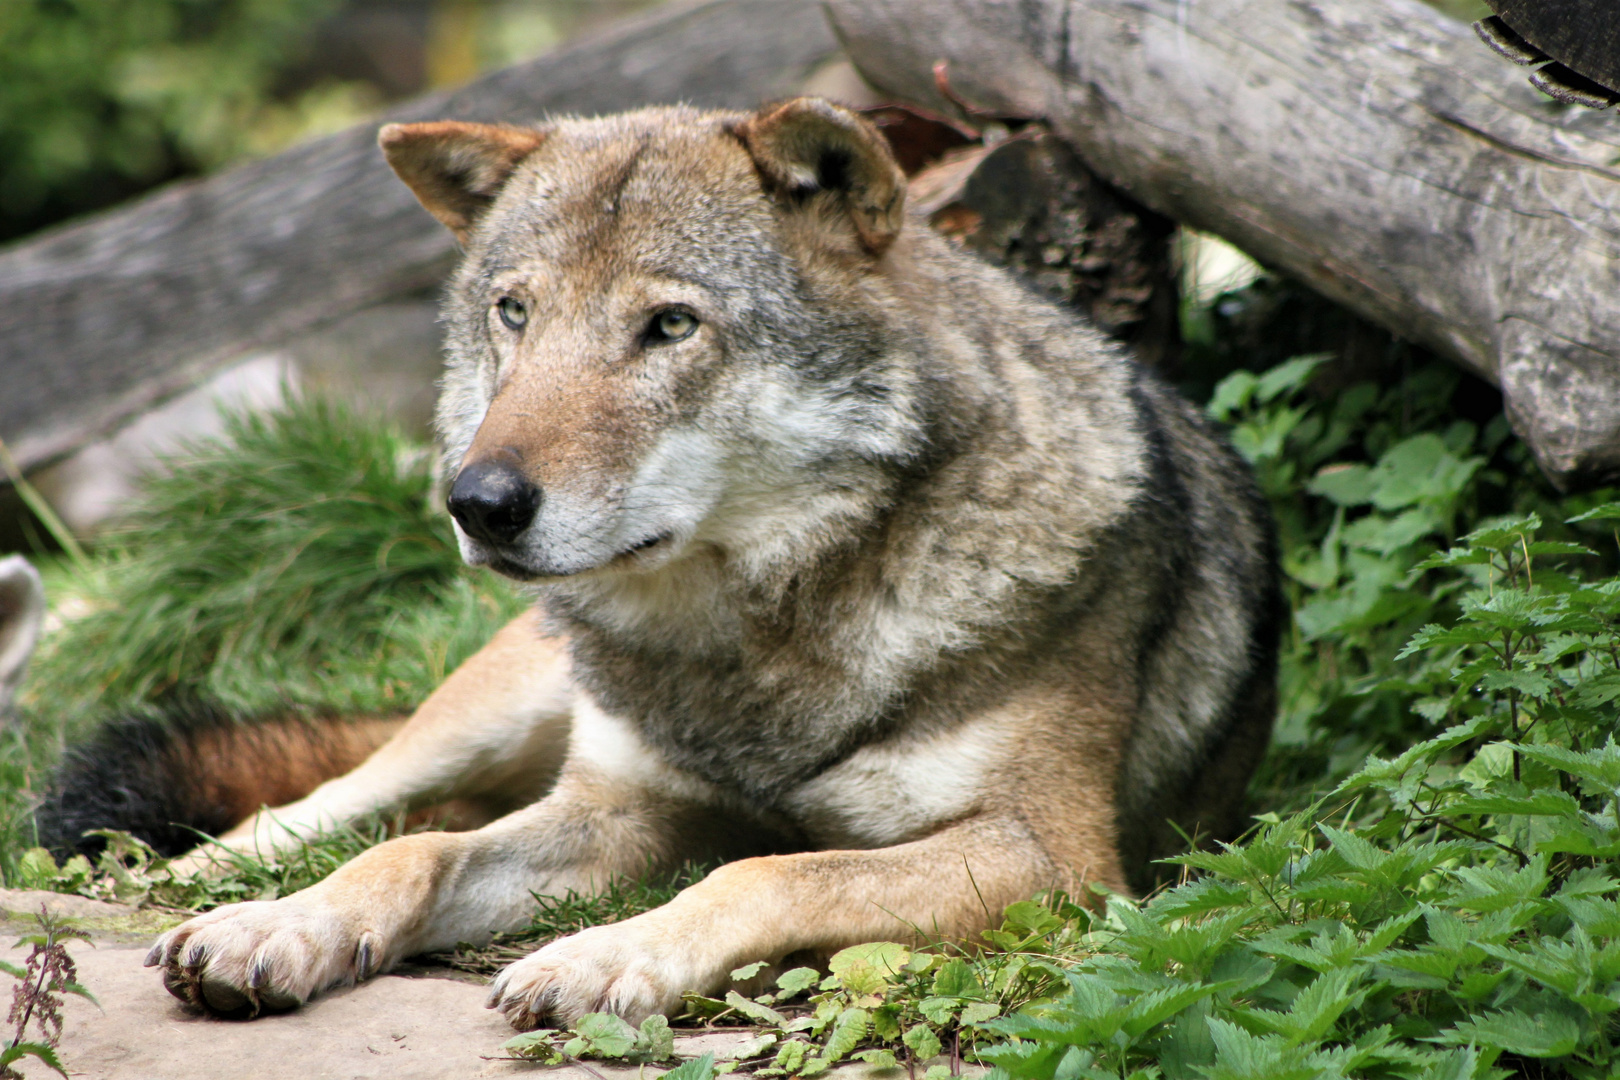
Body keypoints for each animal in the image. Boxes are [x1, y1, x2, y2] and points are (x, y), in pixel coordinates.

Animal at [139, 99, 1276, 1029]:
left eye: (671, 325)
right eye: (515, 313)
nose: (480, 504)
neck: (758, 640)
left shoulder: (1057, 860)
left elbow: (770, 870)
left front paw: (603, 957)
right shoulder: (620, 809)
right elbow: (412, 852)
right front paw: (280, 929)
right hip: (493, 708)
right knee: (344, 798)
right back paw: (205, 876)